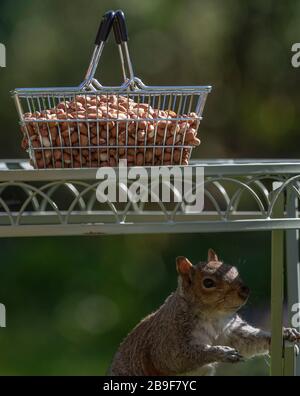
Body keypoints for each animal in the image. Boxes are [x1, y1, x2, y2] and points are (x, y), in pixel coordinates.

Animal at [109, 249, 300, 376]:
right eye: (208, 283)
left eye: (235, 270)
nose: (245, 290)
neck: (214, 316)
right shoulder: (168, 341)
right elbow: (180, 357)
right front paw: (222, 353)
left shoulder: (231, 330)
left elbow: (250, 341)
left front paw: (285, 333)